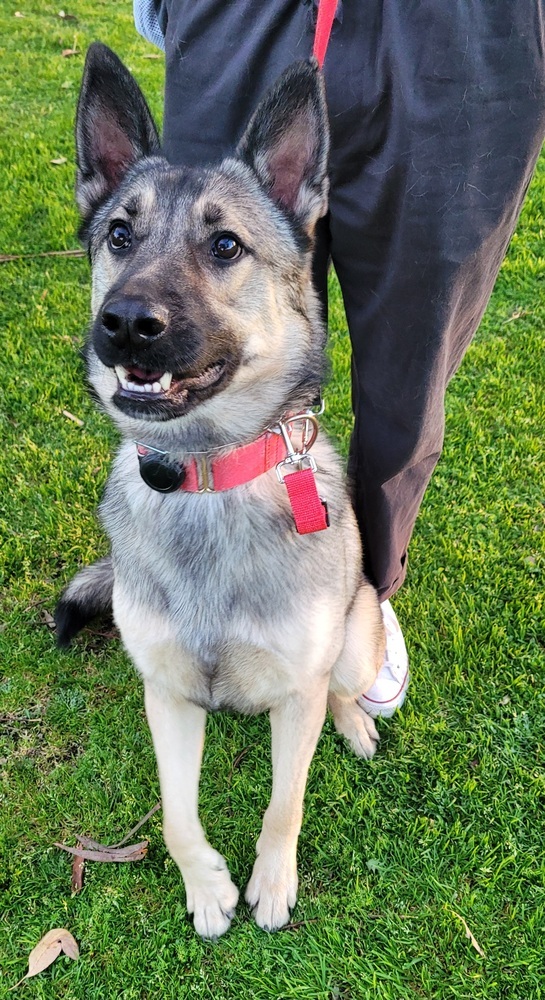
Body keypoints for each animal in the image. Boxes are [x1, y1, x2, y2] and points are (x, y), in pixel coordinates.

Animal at [56, 45, 382, 936]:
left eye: (226, 245)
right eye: (119, 235)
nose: (125, 322)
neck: (204, 478)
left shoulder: (296, 690)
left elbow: (284, 800)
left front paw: (271, 884)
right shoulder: (165, 694)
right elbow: (174, 814)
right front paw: (206, 888)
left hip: (358, 629)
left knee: (341, 684)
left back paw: (354, 723)